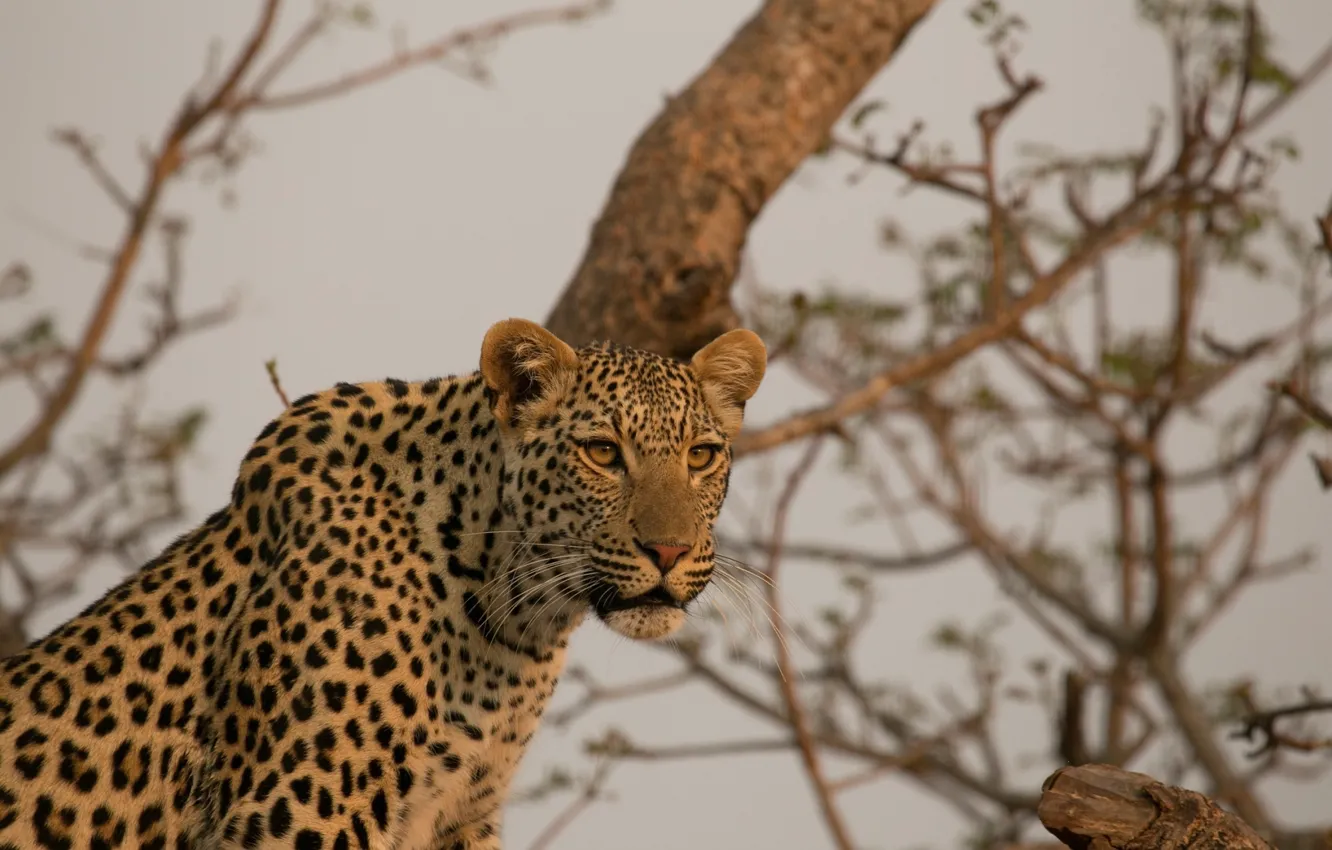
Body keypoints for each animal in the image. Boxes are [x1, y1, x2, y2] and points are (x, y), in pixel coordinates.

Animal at [0, 318, 767, 850]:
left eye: (702, 456)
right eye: (603, 453)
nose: (669, 550)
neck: (514, 619)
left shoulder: (461, 817)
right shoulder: (300, 807)